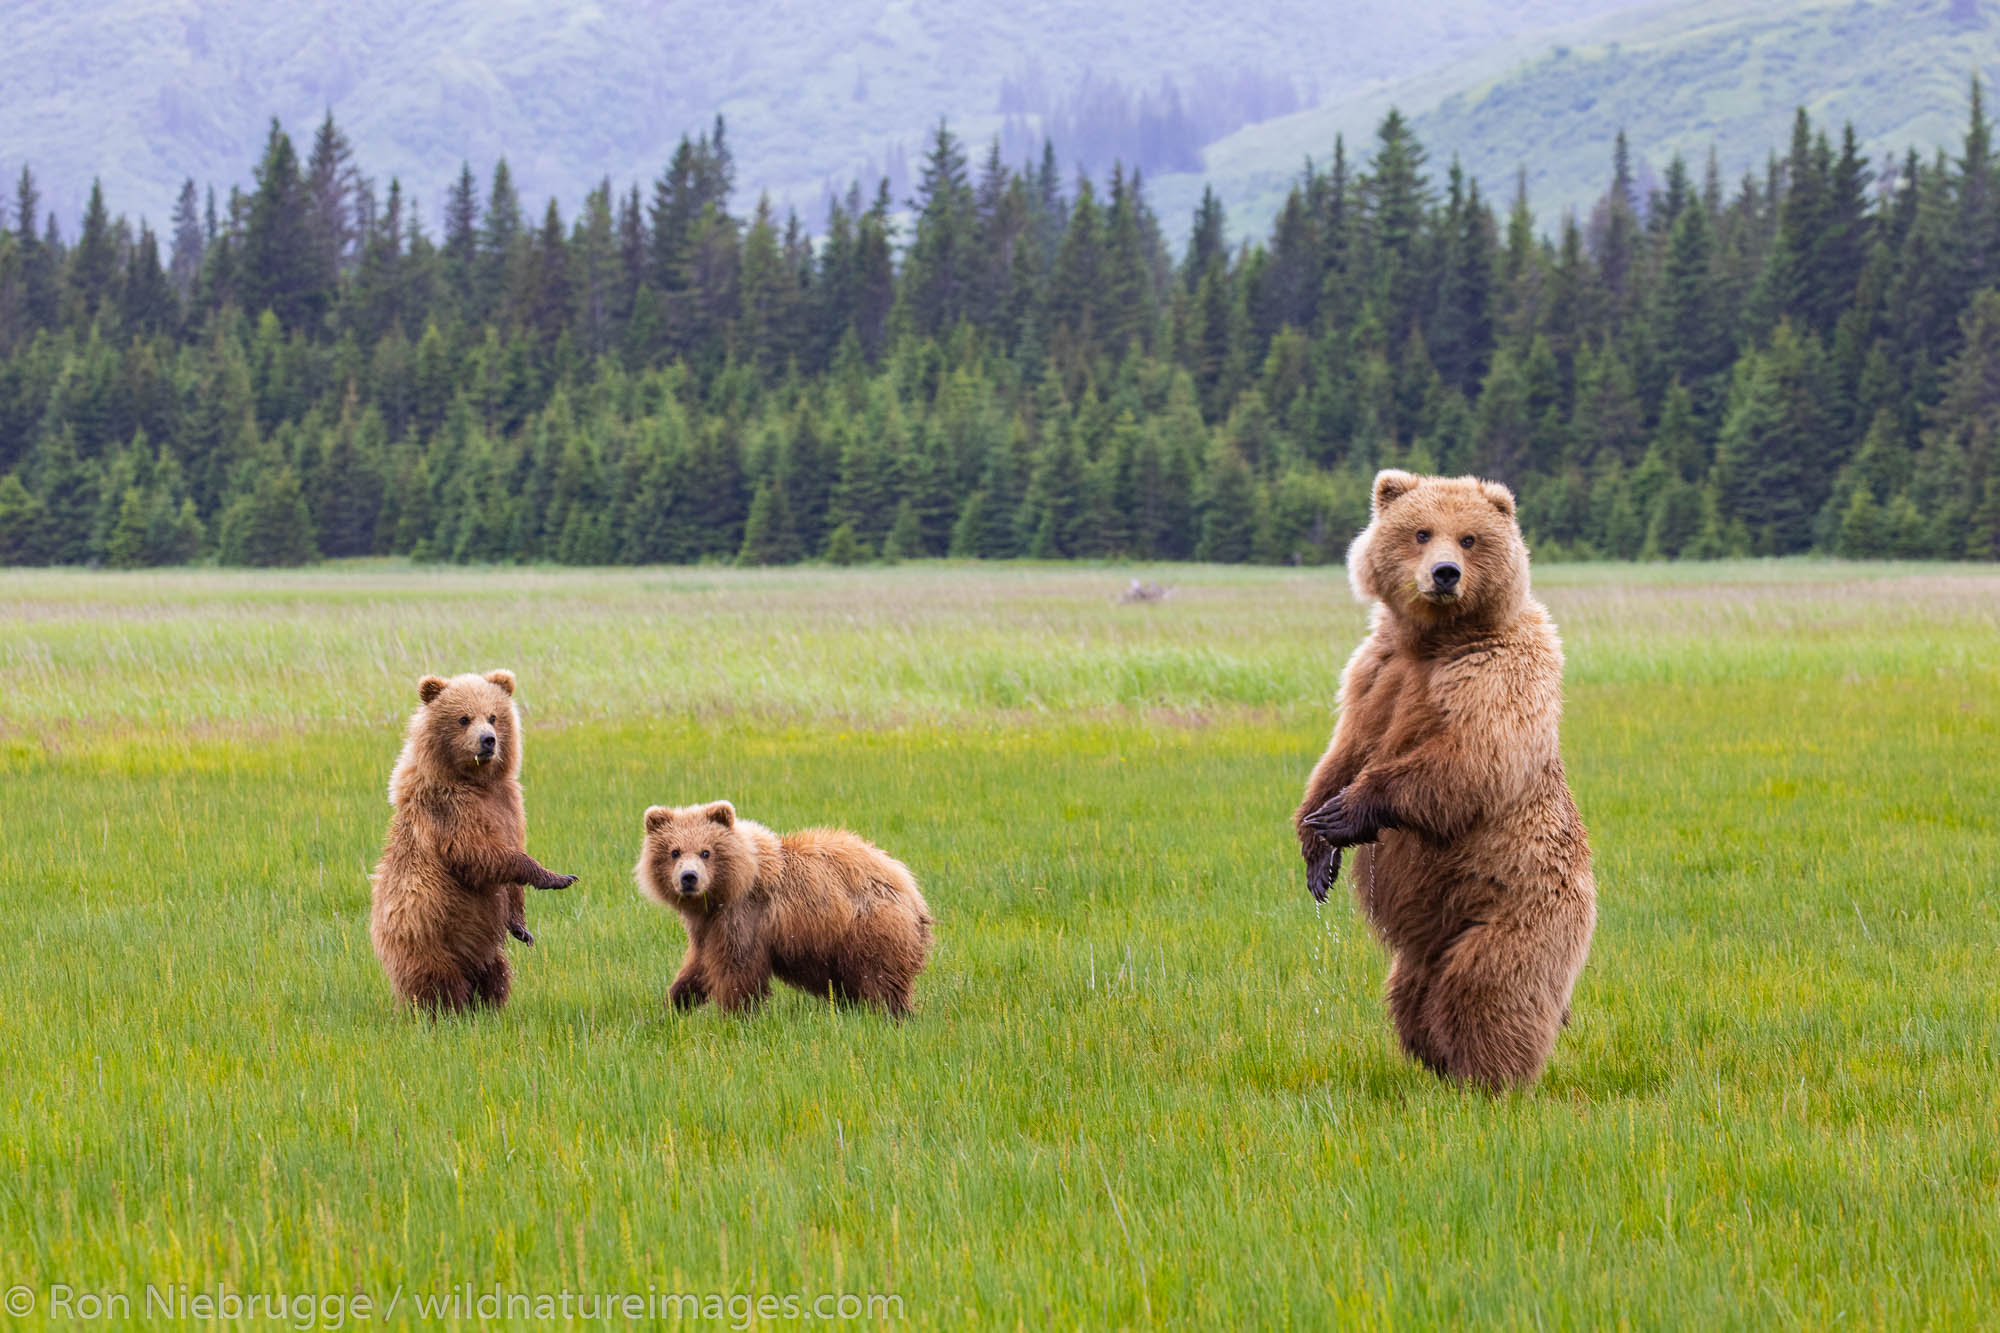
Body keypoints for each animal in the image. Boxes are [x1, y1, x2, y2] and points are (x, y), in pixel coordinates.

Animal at [370, 668, 580, 1012]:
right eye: (463, 718)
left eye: (493, 716)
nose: (488, 740)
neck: (477, 782)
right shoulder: (450, 811)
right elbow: (478, 854)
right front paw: (556, 877)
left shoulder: (509, 803)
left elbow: (510, 867)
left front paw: (522, 927)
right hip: (425, 934)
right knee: (437, 981)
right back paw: (447, 1011)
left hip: (483, 948)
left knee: (497, 971)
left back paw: (489, 1007)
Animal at [1296, 472, 1592, 1088]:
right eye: (1421, 532)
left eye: (1470, 538)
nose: (1445, 574)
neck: (1434, 641)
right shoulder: (1376, 671)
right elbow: (1346, 748)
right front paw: (1317, 847)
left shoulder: (1500, 668)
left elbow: (1474, 756)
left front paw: (1346, 813)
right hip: (1426, 941)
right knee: (1411, 994)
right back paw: (1437, 1066)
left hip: (1519, 907)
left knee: (1487, 989)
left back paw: (1487, 1079)